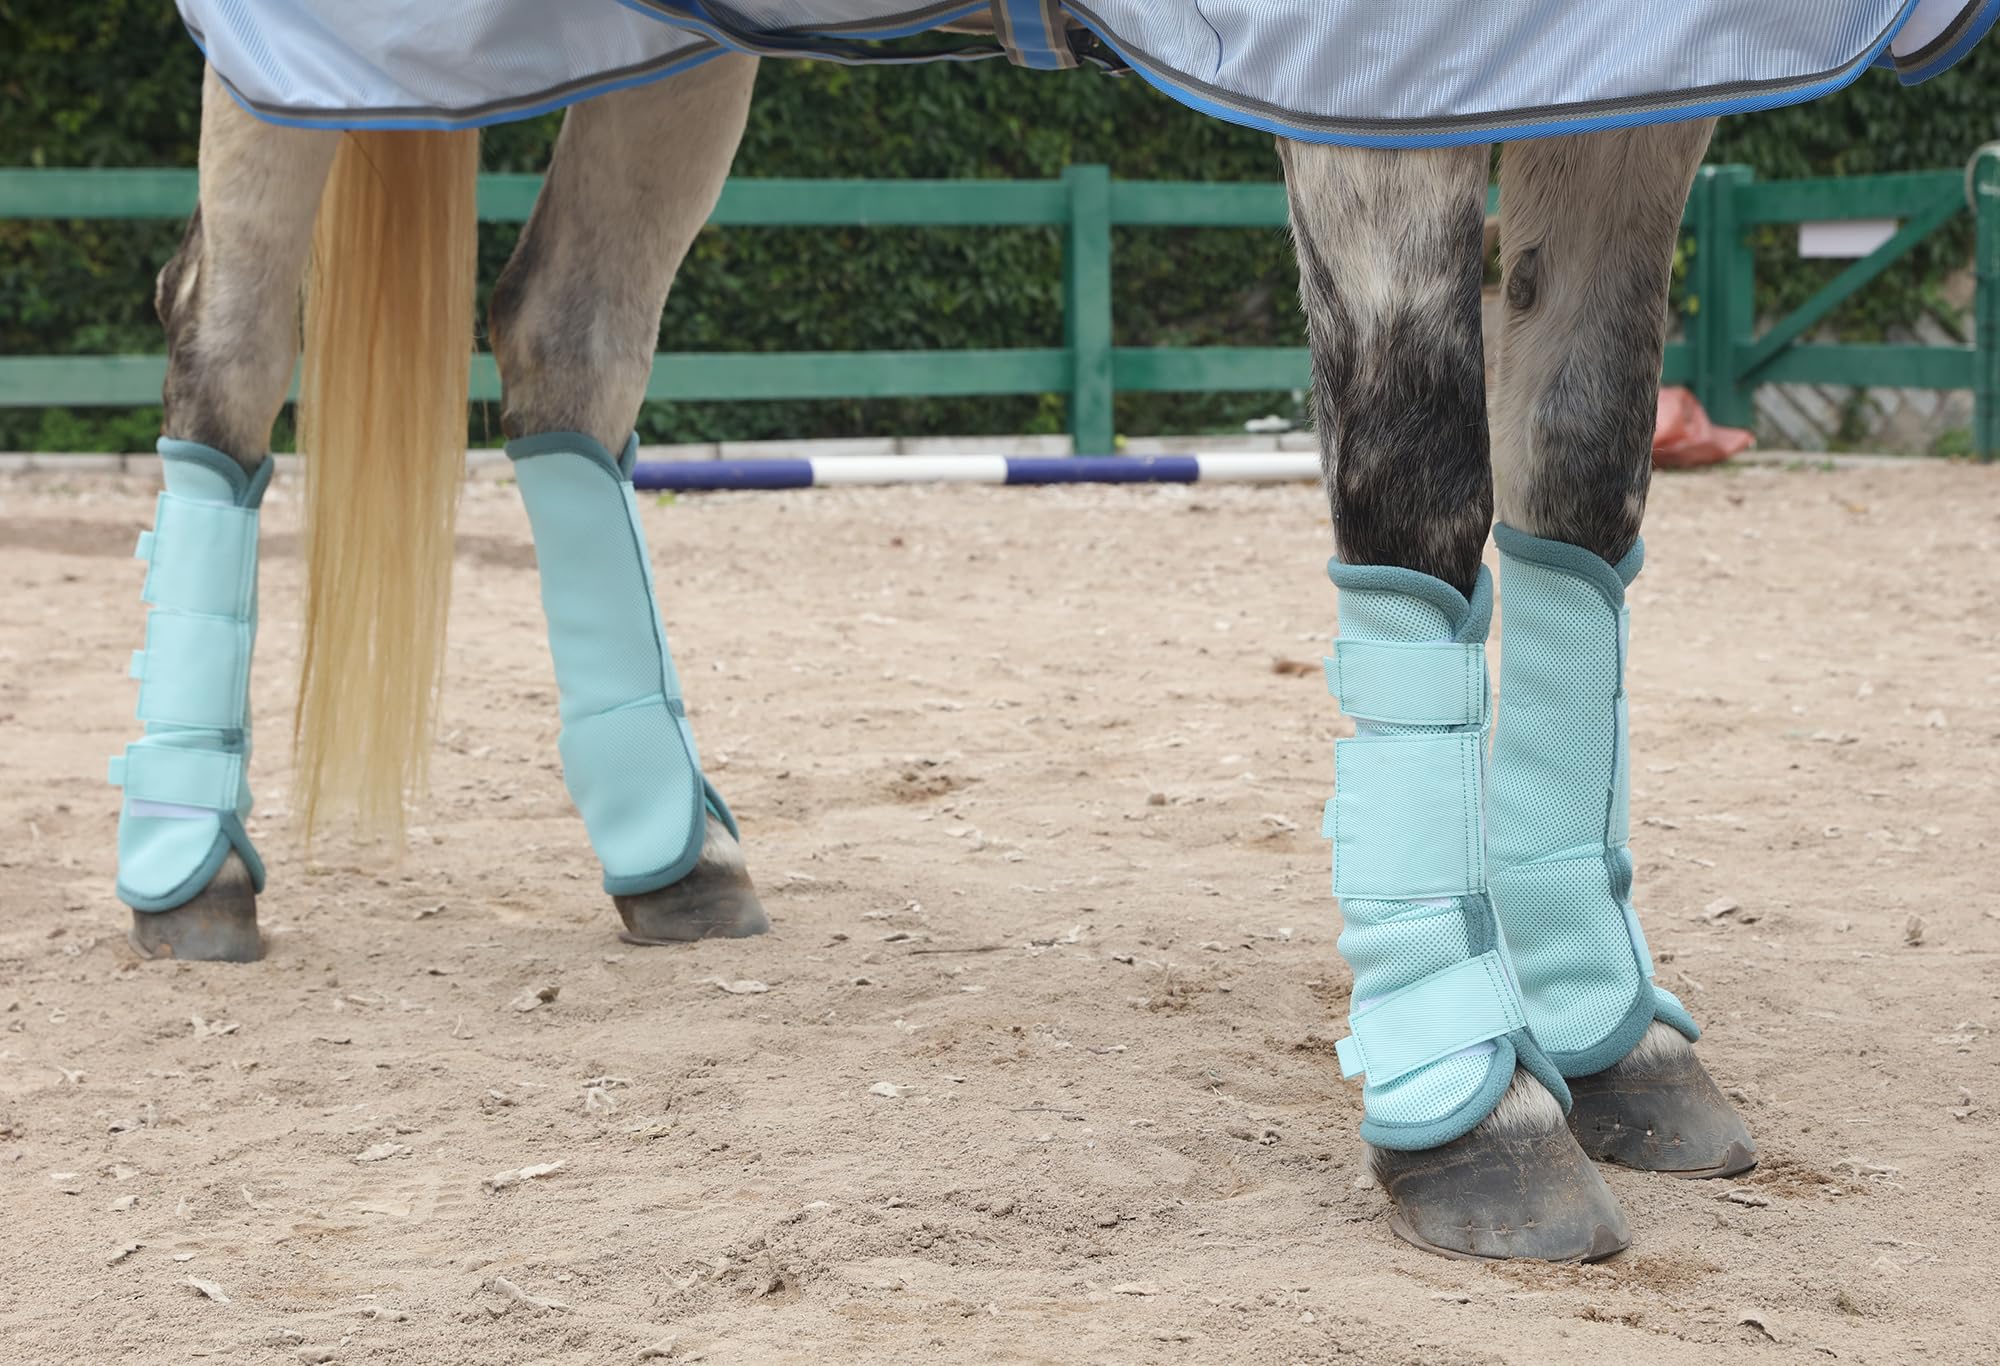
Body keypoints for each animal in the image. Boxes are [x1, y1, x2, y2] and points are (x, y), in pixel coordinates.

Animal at [118, 2, 1991, 1262]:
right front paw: (1473, 1115)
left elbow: (1579, 496)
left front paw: (1609, 1032)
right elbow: (1420, 503)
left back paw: (671, 859)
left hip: (666, 56)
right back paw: (186, 869)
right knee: (229, 338)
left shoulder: (1624, 81)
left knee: (568, 341)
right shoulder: (1371, 84)